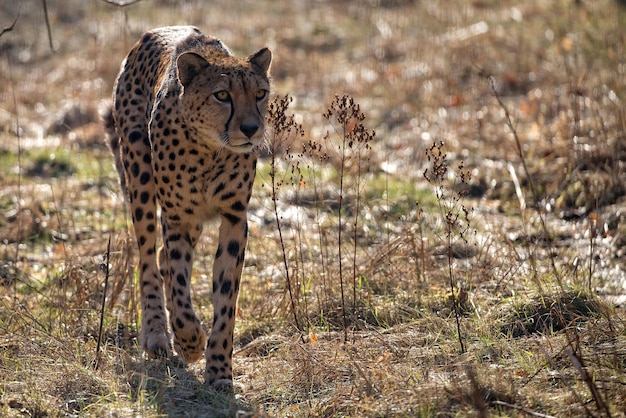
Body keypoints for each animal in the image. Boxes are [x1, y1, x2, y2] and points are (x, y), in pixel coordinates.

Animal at [103, 24, 270, 386]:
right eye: (222, 95)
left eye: (260, 93)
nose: (251, 129)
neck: (210, 149)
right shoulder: (177, 217)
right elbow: (178, 283)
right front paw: (190, 340)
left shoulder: (234, 218)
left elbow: (226, 297)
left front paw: (219, 371)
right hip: (140, 178)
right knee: (149, 259)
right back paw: (157, 335)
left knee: (162, 259)